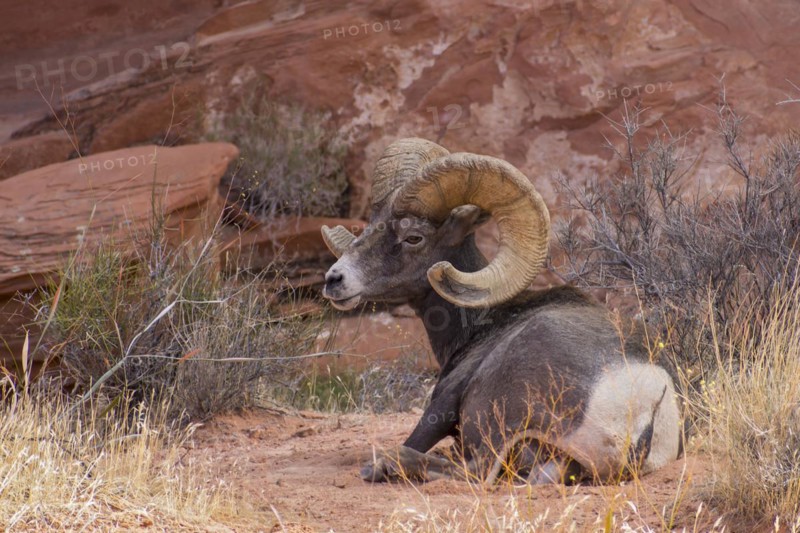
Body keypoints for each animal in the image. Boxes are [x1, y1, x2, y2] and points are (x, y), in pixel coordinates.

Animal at [320, 138, 682, 485]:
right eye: (372, 225)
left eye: (413, 237)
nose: (335, 280)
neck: (481, 323)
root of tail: (645, 415)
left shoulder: (442, 404)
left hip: (499, 416)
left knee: (475, 471)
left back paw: (383, 465)